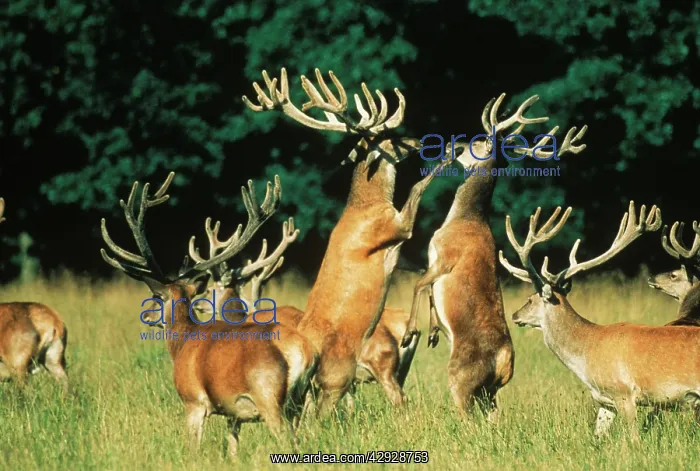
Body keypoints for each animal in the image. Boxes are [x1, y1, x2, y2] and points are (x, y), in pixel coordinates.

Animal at [100, 172, 318, 459]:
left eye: (156, 296)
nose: (146, 315)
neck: (182, 343)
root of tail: (305, 351)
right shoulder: (232, 412)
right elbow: (233, 449)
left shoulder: (193, 400)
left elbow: (192, 447)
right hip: (299, 402)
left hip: (269, 396)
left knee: (287, 441)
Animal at [243, 68, 449, 416]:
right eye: (392, 137)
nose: (420, 140)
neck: (368, 204)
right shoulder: (393, 227)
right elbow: (418, 186)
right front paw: (447, 158)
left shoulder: (397, 253)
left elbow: (424, 270)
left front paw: (429, 329)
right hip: (339, 375)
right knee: (322, 413)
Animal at [399, 93, 587, 417]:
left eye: (475, 142)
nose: (448, 146)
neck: (463, 219)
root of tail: (503, 361)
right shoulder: (434, 260)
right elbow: (428, 292)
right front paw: (433, 332)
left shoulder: (445, 256)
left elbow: (419, 284)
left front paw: (410, 334)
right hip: (489, 393)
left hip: (461, 379)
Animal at [500, 201, 700, 439]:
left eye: (530, 299)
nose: (514, 315)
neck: (586, 354)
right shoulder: (605, 401)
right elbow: (598, 437)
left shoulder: (624, 392)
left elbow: (634, 439)